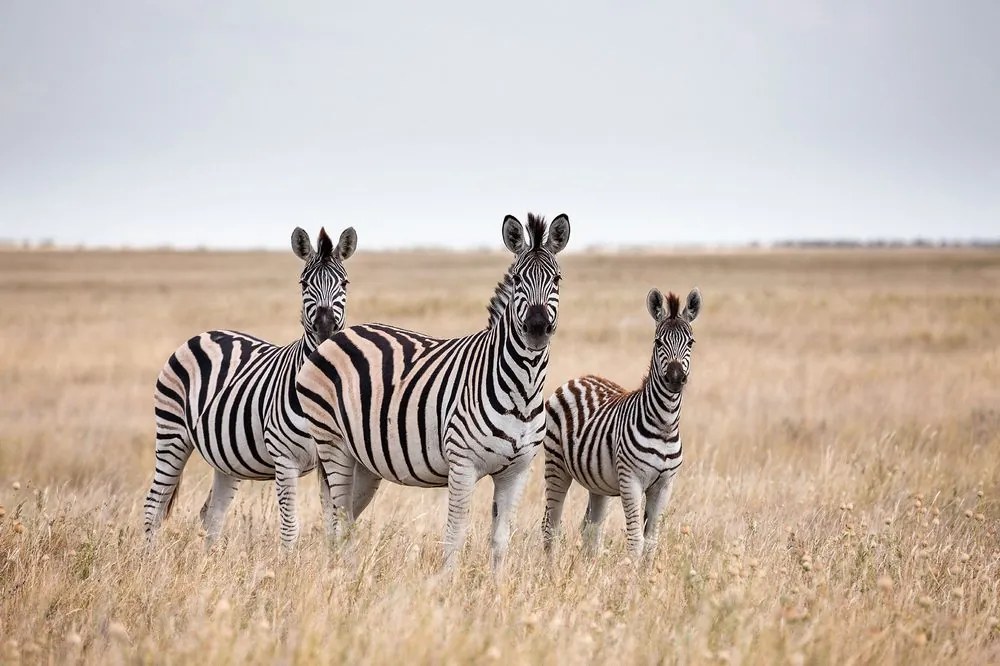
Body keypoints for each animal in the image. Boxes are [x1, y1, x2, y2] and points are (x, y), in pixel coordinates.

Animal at [141, 226, 358, 548]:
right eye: (303, 283)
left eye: (344, 282)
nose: (326, 328)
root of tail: (205, 334)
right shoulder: (284, 458)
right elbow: (291, 528)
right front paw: (287, 563)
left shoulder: (329, 457)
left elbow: (333, 526)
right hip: (172, 433)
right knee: (154, 506)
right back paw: (149, 557)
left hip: (225, 458)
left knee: (212, 513)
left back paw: (210, 560)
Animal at [294, 215, 572, 568]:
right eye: (519, 279)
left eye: (557, 279)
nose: (537, 329)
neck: (522, 388)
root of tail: (336, 337)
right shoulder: (463, 464)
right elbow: (455, 536)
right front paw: (447, 581)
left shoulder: (517, 472)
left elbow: (500, 542)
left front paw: (495, 583)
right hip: (332, 443)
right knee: (338, 516)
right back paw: (342, 574)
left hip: (364, 460)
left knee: (345, 518)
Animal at [540, 286, 704, 556]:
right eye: (658, 342)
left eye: (690, 342)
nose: (675, 378)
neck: (665, 425)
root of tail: (579, 378)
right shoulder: (631, 480)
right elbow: (636, 540)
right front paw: (631, 569)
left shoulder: (665, 485)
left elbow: (651, 541)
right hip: (556, 465)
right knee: (550, 525)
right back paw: (550, 565)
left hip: (597, 483)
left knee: (591, 529)